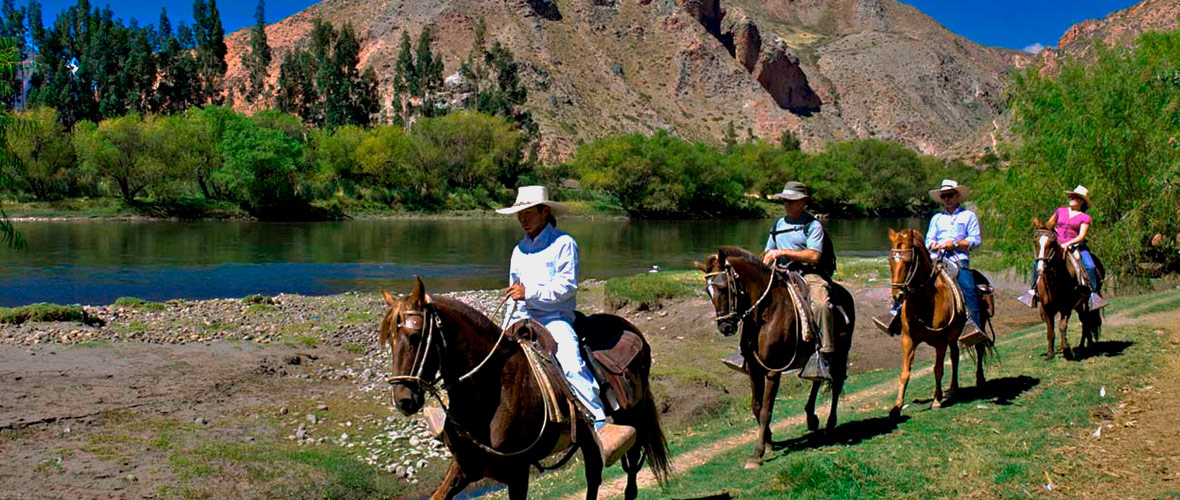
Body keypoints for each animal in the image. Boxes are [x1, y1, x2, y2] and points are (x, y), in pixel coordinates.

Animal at [382, 277, 670, 499]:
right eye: (391, 339)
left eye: (416, 336)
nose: (403, 400)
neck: (492, 391)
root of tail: (634, 331)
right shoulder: (464, 467)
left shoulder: (517, 474)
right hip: (588, 438)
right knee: (593, 475)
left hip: (632, 418)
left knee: (629, 474)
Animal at [693, 246, 854, 469]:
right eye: (708, 292)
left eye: (724, 287)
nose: (725, 327)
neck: (766, 314)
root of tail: (845, 293)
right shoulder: (754, 369)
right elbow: (756, 406)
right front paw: (768, 442)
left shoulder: (772, 370)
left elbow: (766, 410)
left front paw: (757, 454)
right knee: (817, 376)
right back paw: (811, 418)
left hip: (841, 351)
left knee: (836, 383)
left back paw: (830, 426)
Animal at [882, 229, 991, 417]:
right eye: (890, 260)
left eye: (908, 261)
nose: (898, 296)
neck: (925, 301)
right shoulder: (908, 339)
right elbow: (905, 372)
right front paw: (897, 407)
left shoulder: (940, 341)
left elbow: (937, 369)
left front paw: (936, 400)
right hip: (953, 337)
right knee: (955, 356)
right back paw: (953, 388)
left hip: (978, 327)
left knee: (979, 348)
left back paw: (980, 380)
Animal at [1028, 216, 1099, 358]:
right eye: (1035, 241)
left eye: (1052, 243)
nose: (1041, 269)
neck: (1054, 281)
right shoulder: (1046, 307)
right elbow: (1050, 329)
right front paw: (1050, 353)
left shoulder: (1066, 306)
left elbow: (1062, 325)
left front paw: (1066, 349)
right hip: (1079, 304)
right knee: (1084, 320)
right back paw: (1084, 345)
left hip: (1085, 302)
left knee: (1086, 320)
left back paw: (1085, 345)